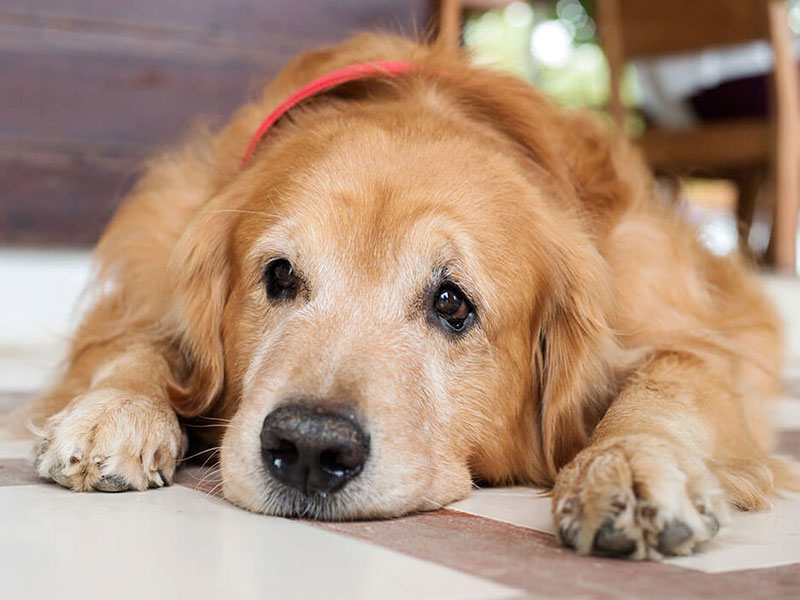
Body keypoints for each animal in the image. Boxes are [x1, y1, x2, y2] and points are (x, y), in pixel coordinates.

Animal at [17, 34, 792, 556]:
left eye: (452, 303)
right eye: (279, 276)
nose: (309, 446)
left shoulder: (676, 320)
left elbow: (674, 375)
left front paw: (627, 463)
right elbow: (139, 340)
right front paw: (116, 407)